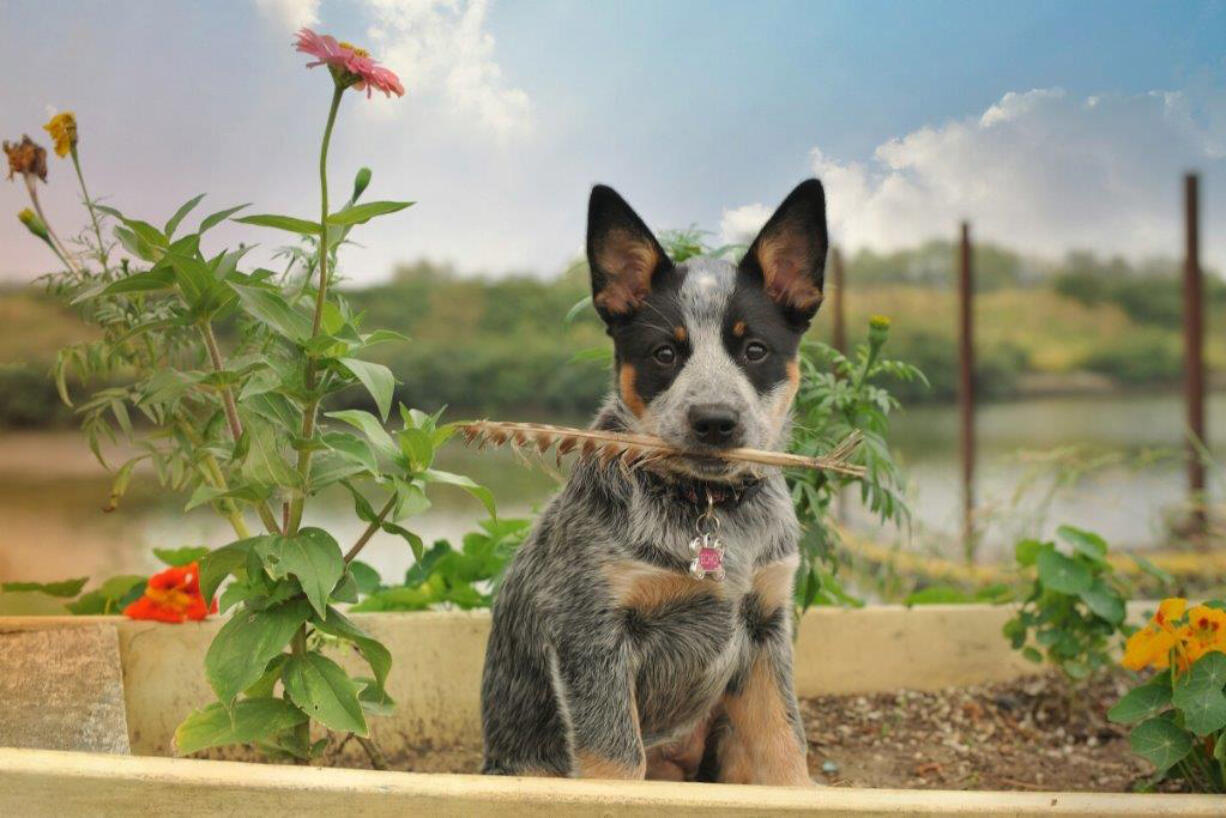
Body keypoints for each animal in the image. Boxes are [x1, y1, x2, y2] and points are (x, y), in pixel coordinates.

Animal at [478, 180, 823, 784]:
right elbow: (616, 760)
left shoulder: (765, 626)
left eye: (754, 349)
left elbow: (784, 745)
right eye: (665, 353)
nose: (714, 421)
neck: (709, 510)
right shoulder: (591, 632)